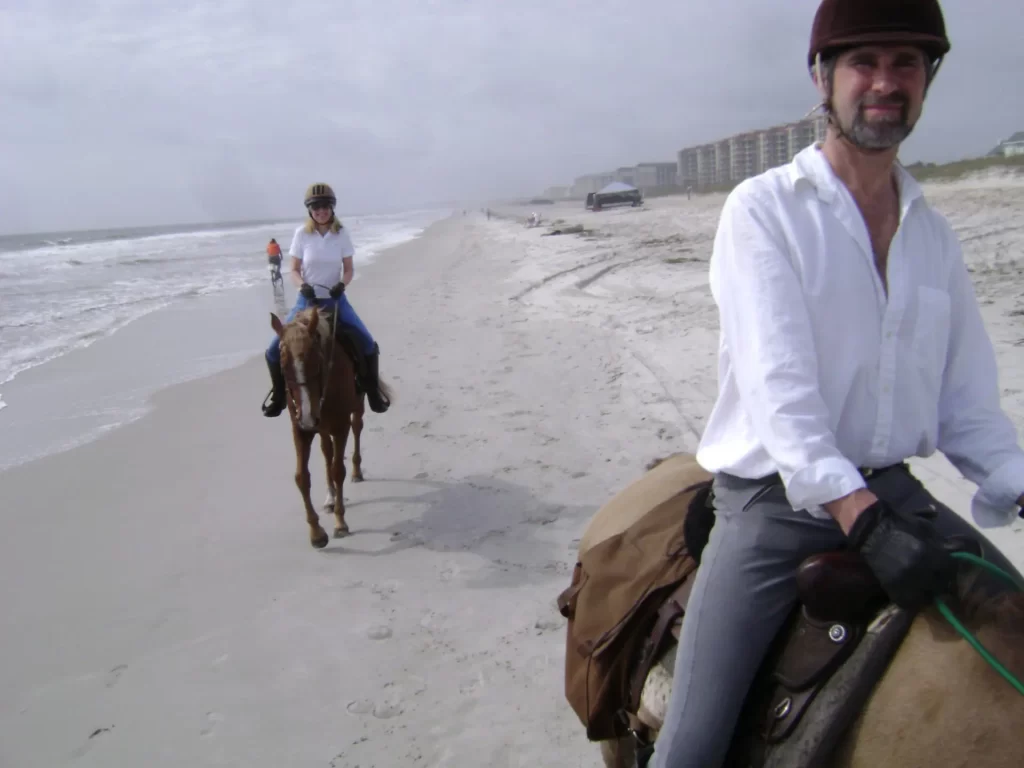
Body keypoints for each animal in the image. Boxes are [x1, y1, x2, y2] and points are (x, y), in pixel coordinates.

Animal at [268, 303, 391, 548]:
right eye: (283, 366)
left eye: (316, 362)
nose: (308, 415)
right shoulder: (300, 429)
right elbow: (302, 477)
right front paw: (316, 533)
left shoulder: (340, 426)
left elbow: (337, 470)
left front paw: (340, 523)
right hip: (319, 427)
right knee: (326, 450)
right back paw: (330, 497)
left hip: (356, 408)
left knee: (357, 429)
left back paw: (356, 472)